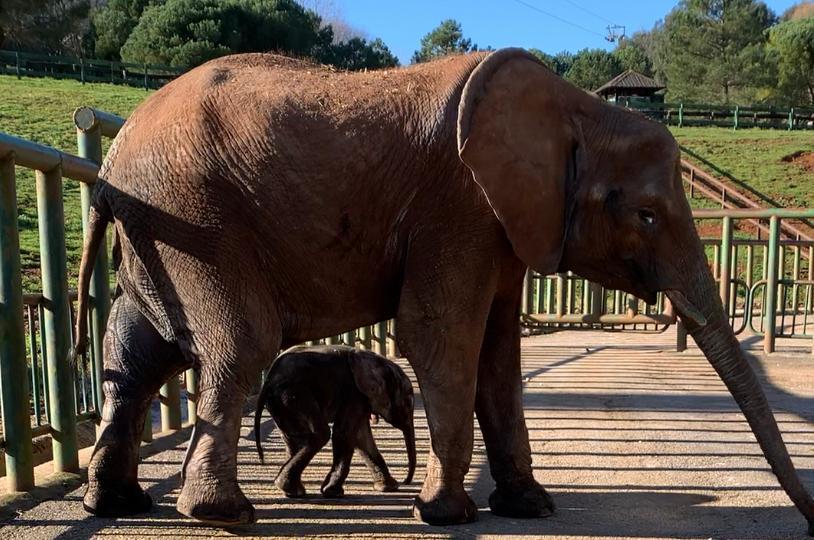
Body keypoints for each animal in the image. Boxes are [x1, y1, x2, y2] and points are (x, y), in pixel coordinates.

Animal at [255, 346, 418, 498]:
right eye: (408, 402)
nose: (406, 482)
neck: (378, 362)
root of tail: (268, 380)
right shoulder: (354, 393)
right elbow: (344, 433)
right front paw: (333, 492)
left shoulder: (360, 397)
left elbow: (362, 437)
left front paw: (389, 487)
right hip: (294, 395)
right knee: (321, 434)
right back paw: (290, 488)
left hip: (282, 403)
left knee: (292, 438)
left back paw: (292, 491)